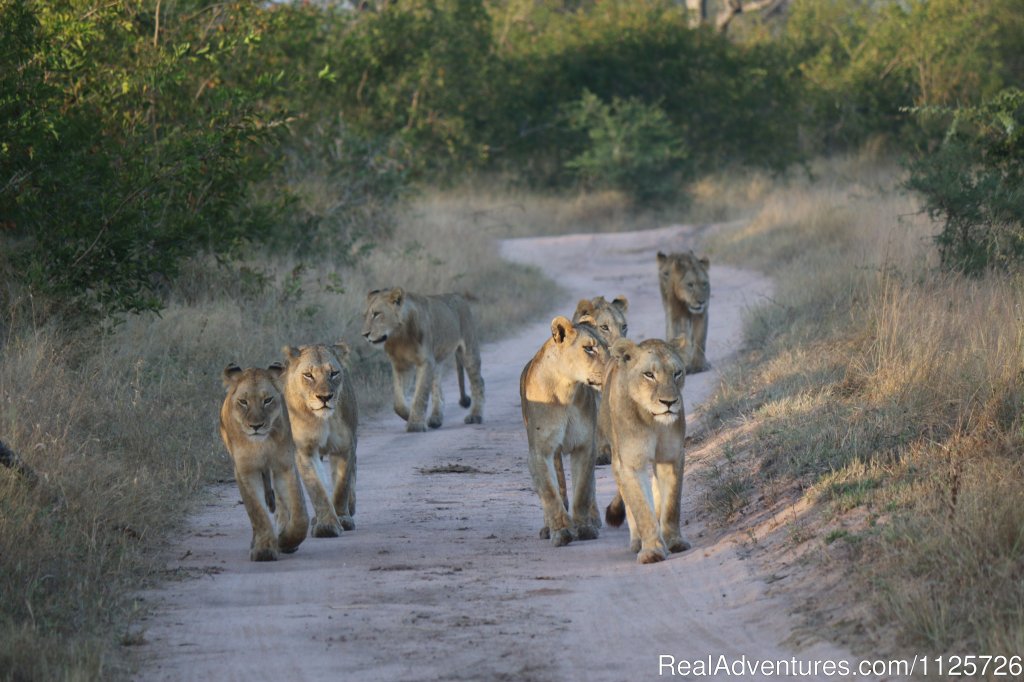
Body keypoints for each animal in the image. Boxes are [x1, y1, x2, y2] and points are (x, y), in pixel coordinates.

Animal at [220, 360, 307, 557]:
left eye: (267, 400)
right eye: (243, 402)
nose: (256, 426)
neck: (261, 444)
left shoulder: (284, 466)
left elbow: (299, 516)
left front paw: (286, 541)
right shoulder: (246, 471)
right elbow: (257, 512)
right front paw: (264, 549)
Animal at [282, 346, 358, 536]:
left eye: (334, 373)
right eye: (308, 375)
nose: (324, 397)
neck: (322, 420)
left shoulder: (344, 446)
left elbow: (342, 486)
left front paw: (342, 518)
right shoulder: (304, 450)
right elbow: (317, 488)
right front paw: (326, 525)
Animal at [362, 286, 485, 430]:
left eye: (376, 314)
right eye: (365, 316)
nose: (364, 334)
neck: (398, 337)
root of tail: (458, 295)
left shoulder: (426, 362)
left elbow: (420, 394)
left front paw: (415, 425)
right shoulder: (401, 365)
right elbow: (398, 403)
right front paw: (410, 415)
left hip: (468, 350)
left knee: (478, 382)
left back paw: (475, 416)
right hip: (437, 361)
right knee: (437, 388)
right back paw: (435, 418)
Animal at [520, 315, 606, 544]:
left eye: (606, 346)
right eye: (588, 349)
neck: (566, 390)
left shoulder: (585, 446)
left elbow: (583, 490)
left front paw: (584, 527)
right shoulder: (540, 451)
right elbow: (550, 493)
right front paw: (560, 531)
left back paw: (594, 519)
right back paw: (547, 527)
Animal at [598, 335, 688, 561]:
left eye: (677, 373)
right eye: (649, 375)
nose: (669, 402)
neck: (652, 420)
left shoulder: (671, 457)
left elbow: (671, 504)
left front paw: (674, 541)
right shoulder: (630, 464)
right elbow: (641, 510)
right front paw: (652, 551)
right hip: (616, 458)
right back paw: (637, 541)